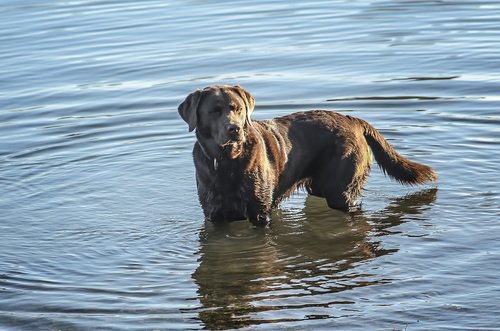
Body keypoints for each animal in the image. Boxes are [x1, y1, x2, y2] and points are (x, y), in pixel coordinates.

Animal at [178, 84, 436, 227]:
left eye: (238, 109)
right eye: (214, 111)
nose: (235, 129)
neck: (227, 162)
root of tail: (352, 119)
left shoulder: (259, 214)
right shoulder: (214, 215)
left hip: (341, 190)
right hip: (320, 186)